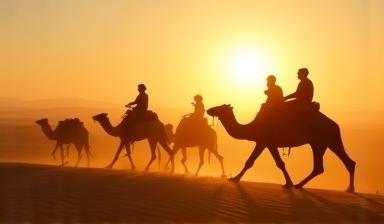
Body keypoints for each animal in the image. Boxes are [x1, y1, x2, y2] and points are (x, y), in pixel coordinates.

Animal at [207, 104, 356, 192]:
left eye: (220, 107)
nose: (209, 110)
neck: (252, 127)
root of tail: (336, 125)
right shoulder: (269, 143)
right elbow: (280, 163)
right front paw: (288, 183)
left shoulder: (264, 141)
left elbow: (252, 162)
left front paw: (234, 179)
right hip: (326, 142)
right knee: (340, 163)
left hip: (322, 140)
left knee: (324, 165)